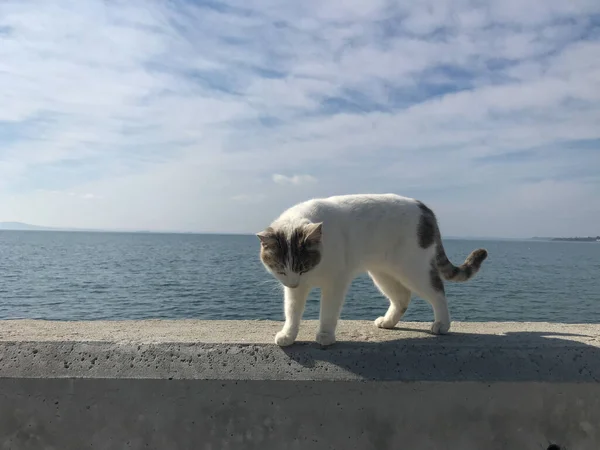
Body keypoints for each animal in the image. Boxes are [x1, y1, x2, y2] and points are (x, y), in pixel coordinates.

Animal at [256, 192, 488, 346]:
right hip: (383, 273)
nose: (294, 283)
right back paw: (388, 321)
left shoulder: (335, 282)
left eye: (303, 268)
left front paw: (325, 335)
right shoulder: (295, 288)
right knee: (402, 297)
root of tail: (424, 207)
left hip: (414, 269)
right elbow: (292, 311)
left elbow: (328, 311)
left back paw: (442, 324)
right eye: (280, 269)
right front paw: (288, 335)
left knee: (438, 291)